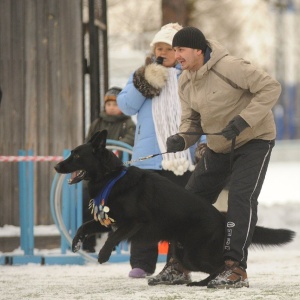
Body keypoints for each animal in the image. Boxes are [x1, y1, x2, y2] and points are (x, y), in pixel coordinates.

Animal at [54, 131, 296, 286]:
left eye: (77, 155)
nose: (56, 166)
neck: (111, 177)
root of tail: (221, 216)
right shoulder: (109, 221)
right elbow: (84, 226)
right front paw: (75, 243)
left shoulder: (133, 223)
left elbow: (113, 238)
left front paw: (103, 254)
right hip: (186, 253)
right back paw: (201, 282)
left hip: (195, 254)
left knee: (221, 266)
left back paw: (218, 280)